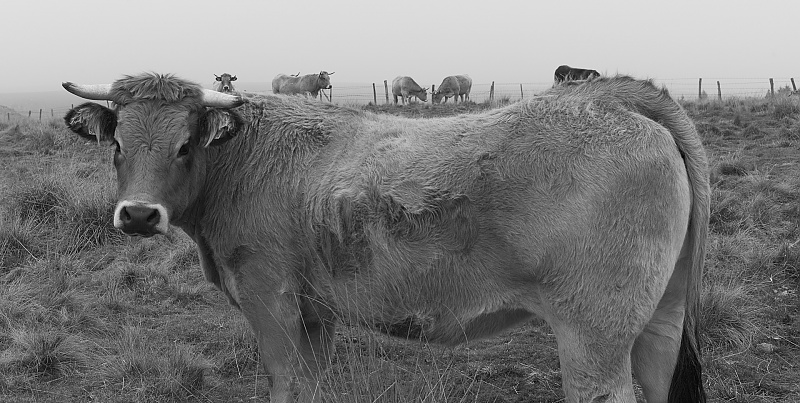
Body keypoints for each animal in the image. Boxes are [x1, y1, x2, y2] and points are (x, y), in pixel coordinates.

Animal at [62, 73, 709, 403]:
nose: (138, 214)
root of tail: (610, 97)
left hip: (593, 334)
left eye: (184, 145)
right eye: (116, 142)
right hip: (659, 320)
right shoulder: (314, 312)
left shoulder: (269, 300)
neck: (245, 158)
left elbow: (285, 382)